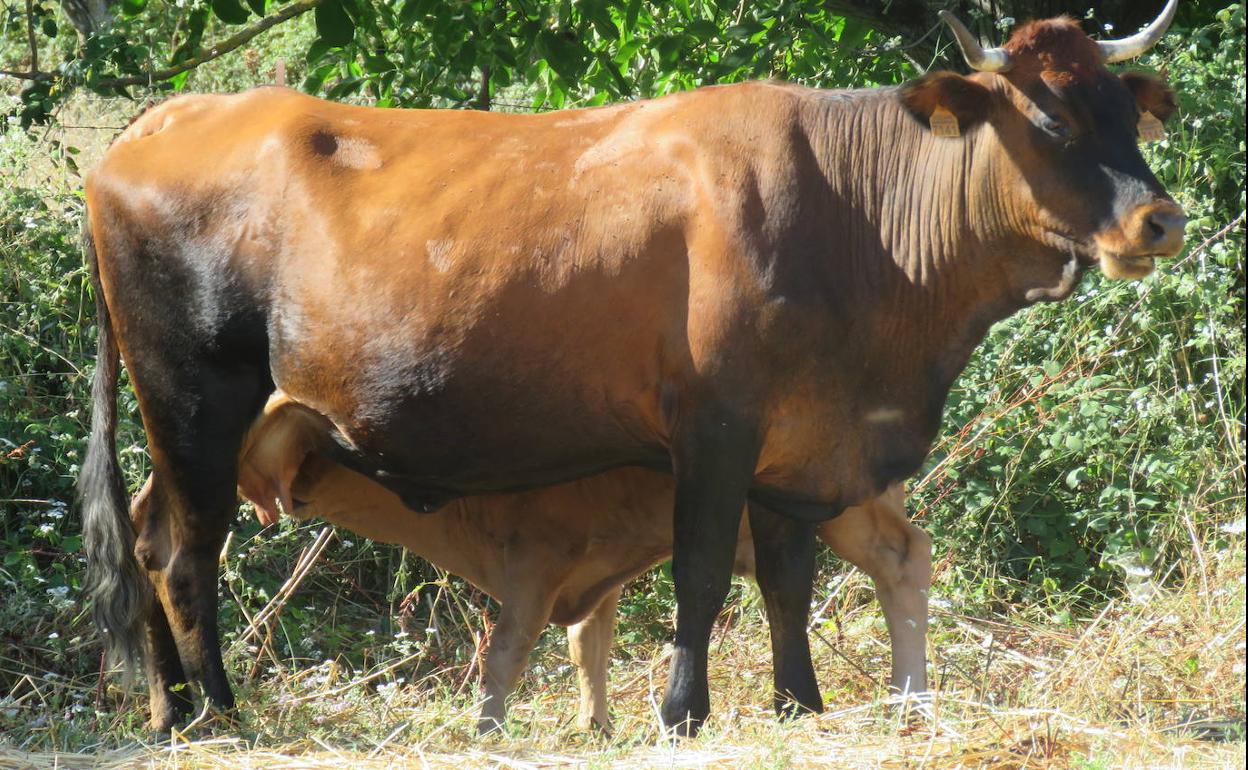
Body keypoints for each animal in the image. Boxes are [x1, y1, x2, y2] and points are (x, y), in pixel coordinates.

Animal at [209, 390, 925, 733]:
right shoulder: (597, 575)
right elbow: (589, 647)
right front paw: (596, 726)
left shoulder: (537, 565)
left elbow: (506, 652)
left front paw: (487, 728)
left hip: (845, 509)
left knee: (903, 560)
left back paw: (907, 695)